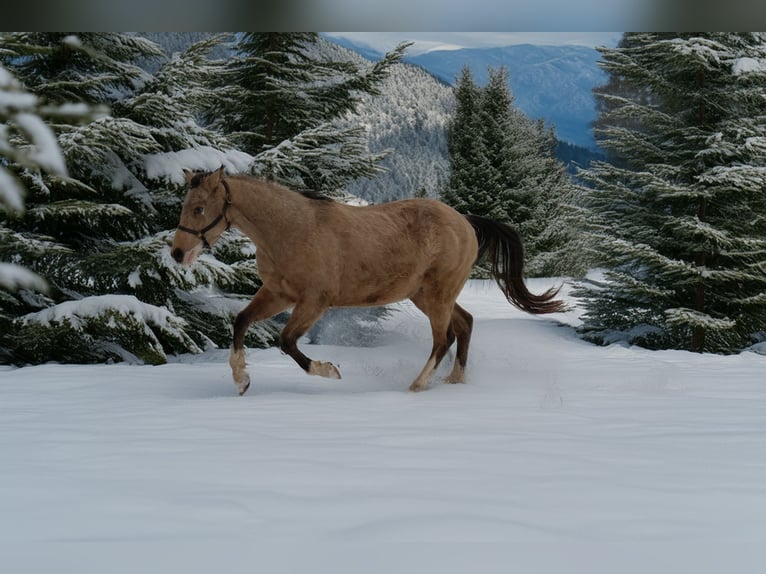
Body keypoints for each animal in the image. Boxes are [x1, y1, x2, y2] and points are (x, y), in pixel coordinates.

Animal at [171, 167, 565, 395]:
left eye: (199, 208)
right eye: (185, 206)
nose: (177, 253)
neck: (292, 230)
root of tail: (465, 222)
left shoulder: (314, 301)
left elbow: (287, 342)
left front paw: (329, 371)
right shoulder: (278, 294)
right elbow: (240, 322)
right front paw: (242, 381)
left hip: (438, 294)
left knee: (444, 339)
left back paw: (417, 386)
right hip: (425, 294)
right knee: (464, 324)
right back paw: (454, 382)